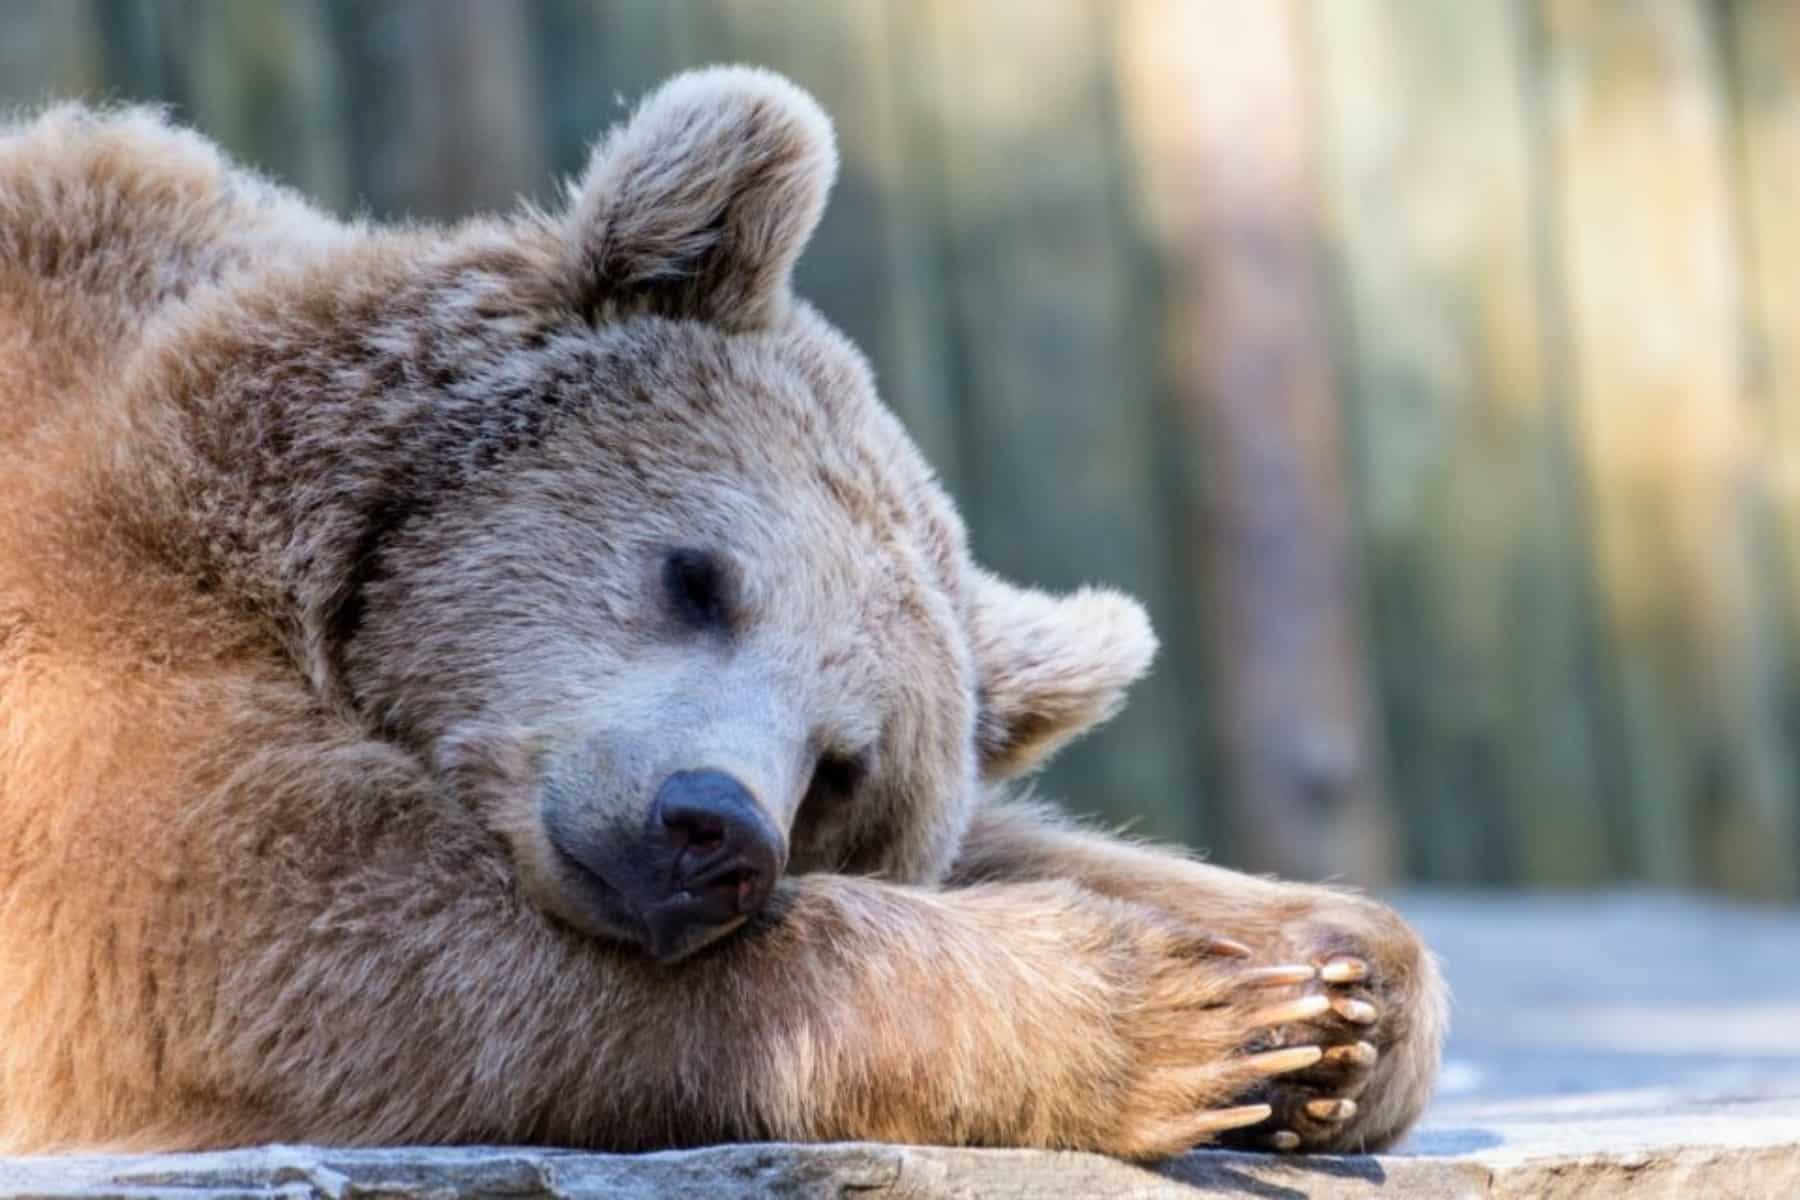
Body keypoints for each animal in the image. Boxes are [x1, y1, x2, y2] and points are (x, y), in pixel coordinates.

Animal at [0, 67, 1440, 1165]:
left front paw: (1332, 990)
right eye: (698, 575)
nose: (710, 830)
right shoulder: (94, 610)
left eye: (844, 766)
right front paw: (1175, 1010)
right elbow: (255, 919)